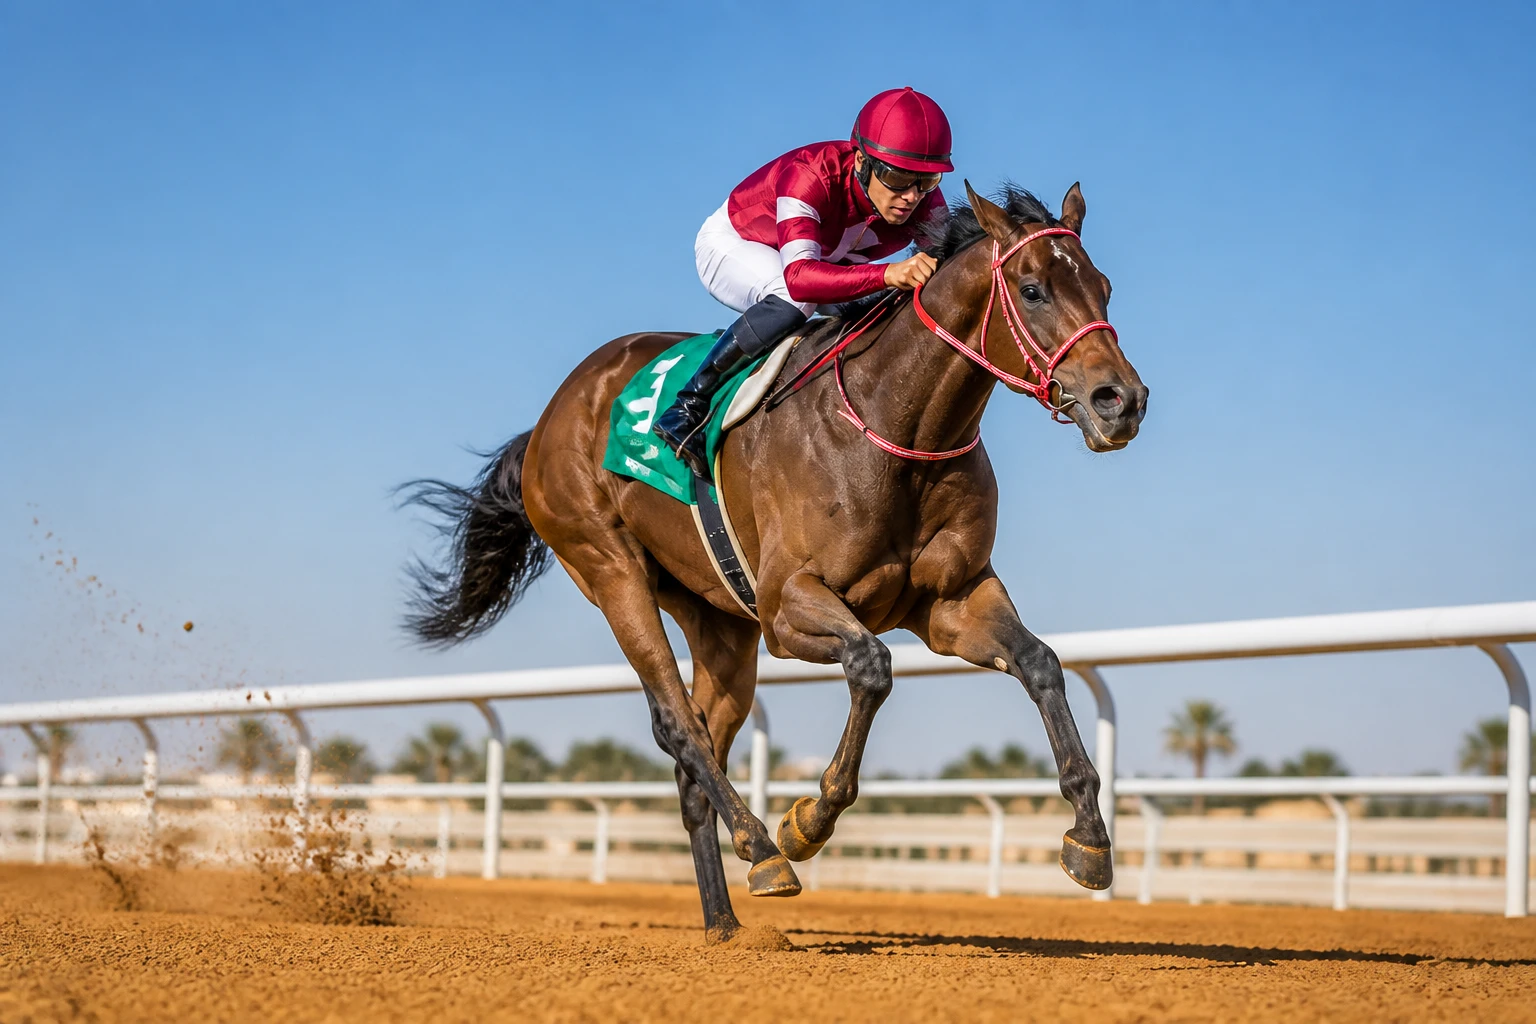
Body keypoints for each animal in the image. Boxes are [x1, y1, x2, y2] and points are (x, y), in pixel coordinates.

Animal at [402, 182, 1148, 942]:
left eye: (1105, 288)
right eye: (1032, 289)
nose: (1121, 400)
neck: (896, 422)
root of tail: (553, 414)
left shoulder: (952, 601)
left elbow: (1041, 663)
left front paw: (1090, 841)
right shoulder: (788, 606)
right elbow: (872, 666)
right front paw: (807, 823)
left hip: (721, 622)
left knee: (699, 746)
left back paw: (724, 921)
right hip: (610, 567)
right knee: (676, 723)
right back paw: (763, 849)